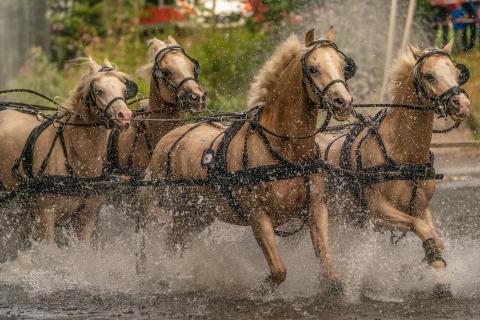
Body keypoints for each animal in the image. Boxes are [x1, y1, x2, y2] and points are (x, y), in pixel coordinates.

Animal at [139, 28, 356, 294]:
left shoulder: (316, 208)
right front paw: (261, 288)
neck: (284, 150)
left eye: (343, 66)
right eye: (313, 68)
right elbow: (278, 271)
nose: (343, 101)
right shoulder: (258, 216)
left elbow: (328, 269)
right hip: (170, 209)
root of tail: (168, 136)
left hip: (196, 216)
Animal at [320, 40, 470, 298]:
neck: (403, 153)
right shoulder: (379, 213)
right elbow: (424, 230)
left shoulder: (420, 207)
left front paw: (441, 279)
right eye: (429, 75)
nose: (462, 104)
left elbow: (433, 235)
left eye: (455, 71)